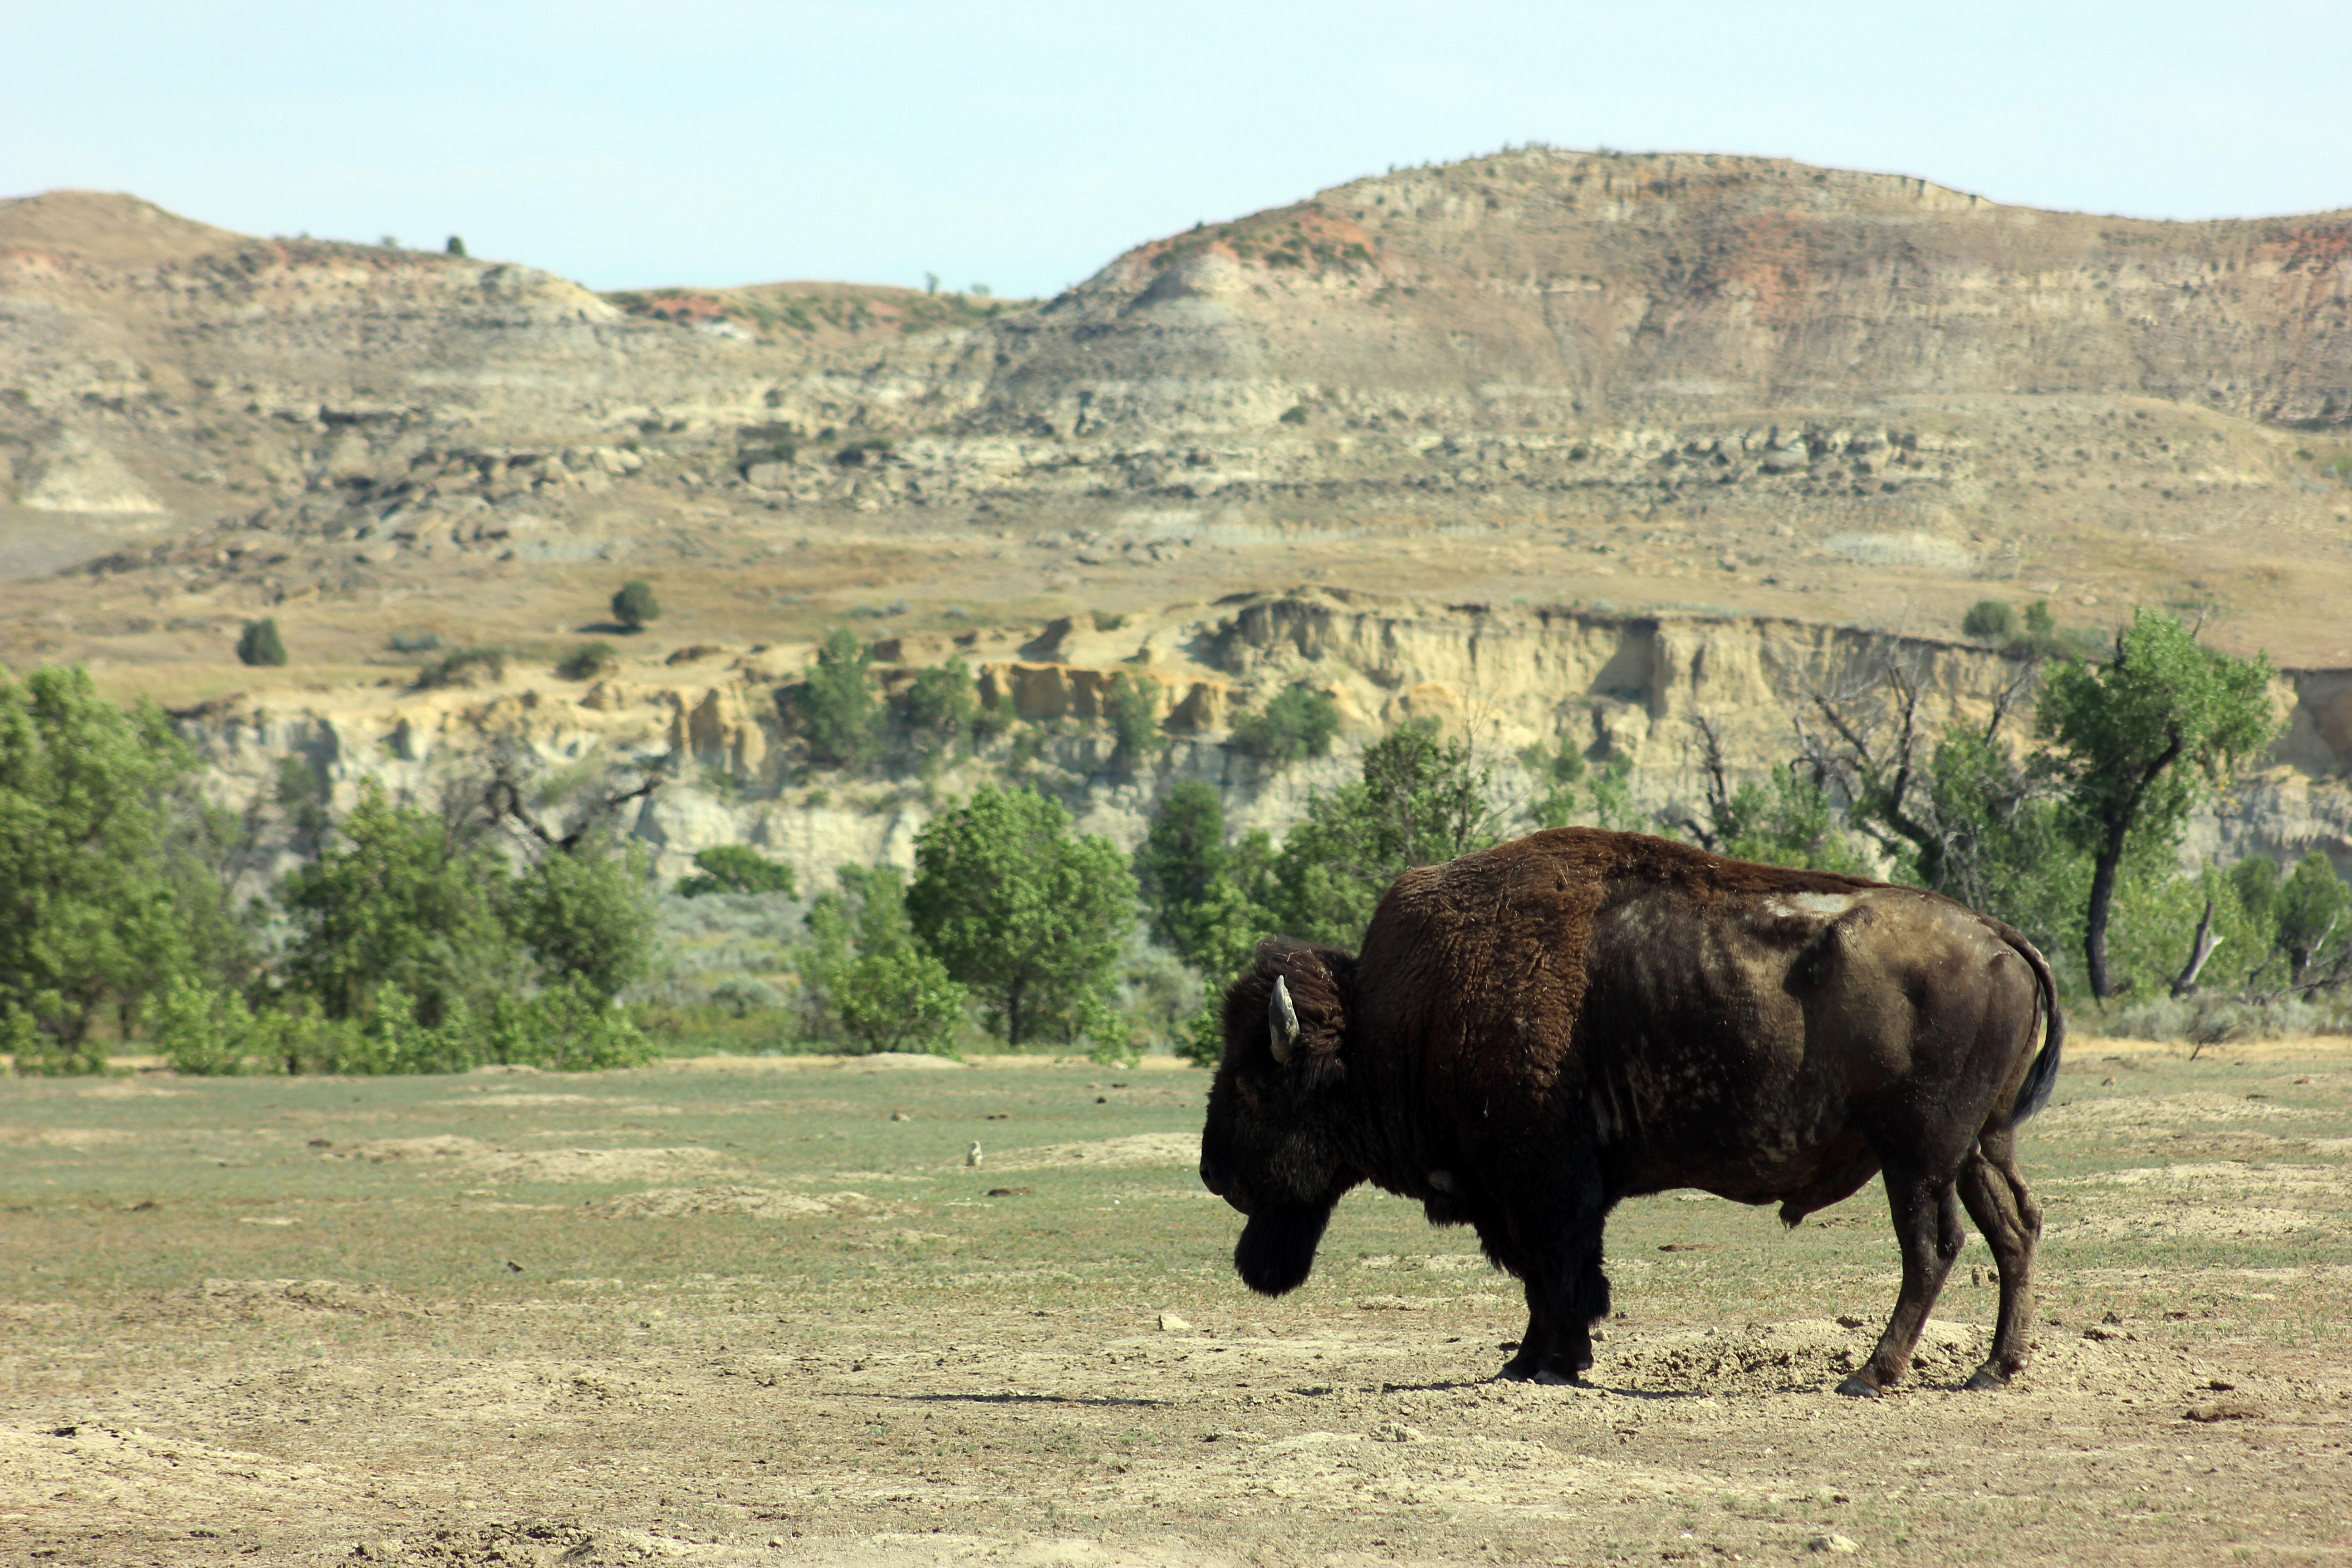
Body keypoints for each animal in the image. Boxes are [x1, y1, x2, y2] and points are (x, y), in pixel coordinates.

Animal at [1195, 827, 2060, 1392]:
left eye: (1254, 1083)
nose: (1212, 1172)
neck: (1398, 1022)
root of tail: (2000, 938)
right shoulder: (1537, 1192)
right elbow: (1550, 1275)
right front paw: (1530, 1360)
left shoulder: (1537, 1185)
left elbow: (1555, 1271)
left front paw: (1549, 1362)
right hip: (1979, 1146)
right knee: (2013, 1228)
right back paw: (1994, 1369)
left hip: (1916, 1154)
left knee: (1933, 1246)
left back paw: (1871, 1374)